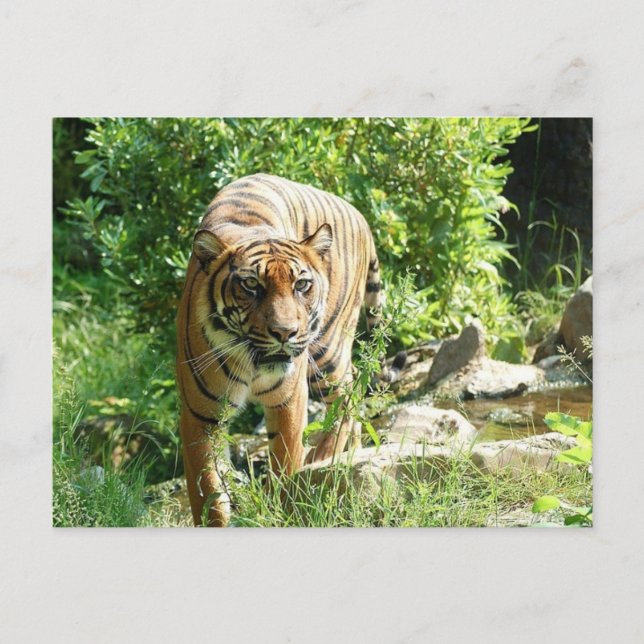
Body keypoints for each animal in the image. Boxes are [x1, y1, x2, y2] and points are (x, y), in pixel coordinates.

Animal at [176, 173, 400, 526]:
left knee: (347, 395)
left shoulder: (288, 400)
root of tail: (359, 214)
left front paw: (284, 510)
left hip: (327, 350)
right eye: (251, 285)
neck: (252, 362)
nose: (285, 332)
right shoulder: (201, 415)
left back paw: (324, 456)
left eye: (301, 285)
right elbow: (208, 491)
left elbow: (285, 464)